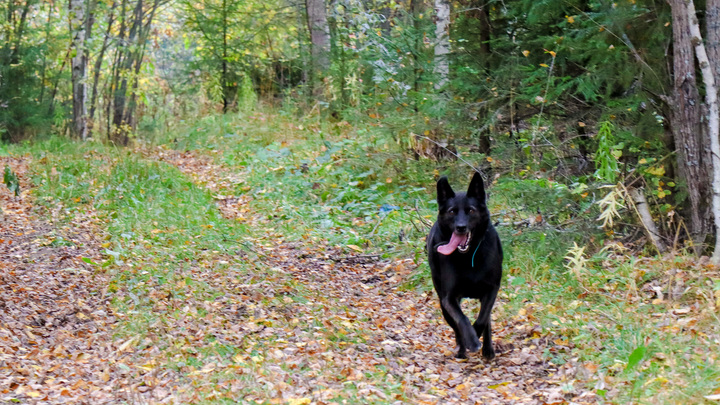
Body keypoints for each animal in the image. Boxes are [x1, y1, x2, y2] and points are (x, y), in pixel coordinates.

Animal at [424, 172, 504, 358]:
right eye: (452, 211)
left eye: (471, 211)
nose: (461, 227)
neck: (468, 256)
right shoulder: (449, 297)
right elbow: (461, 319)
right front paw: (471, 341)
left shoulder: (491, 289)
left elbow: (483, 318)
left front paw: (477, 335)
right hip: (441, 299)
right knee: (455, 324)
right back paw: (462, 348)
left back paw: (487, 349)